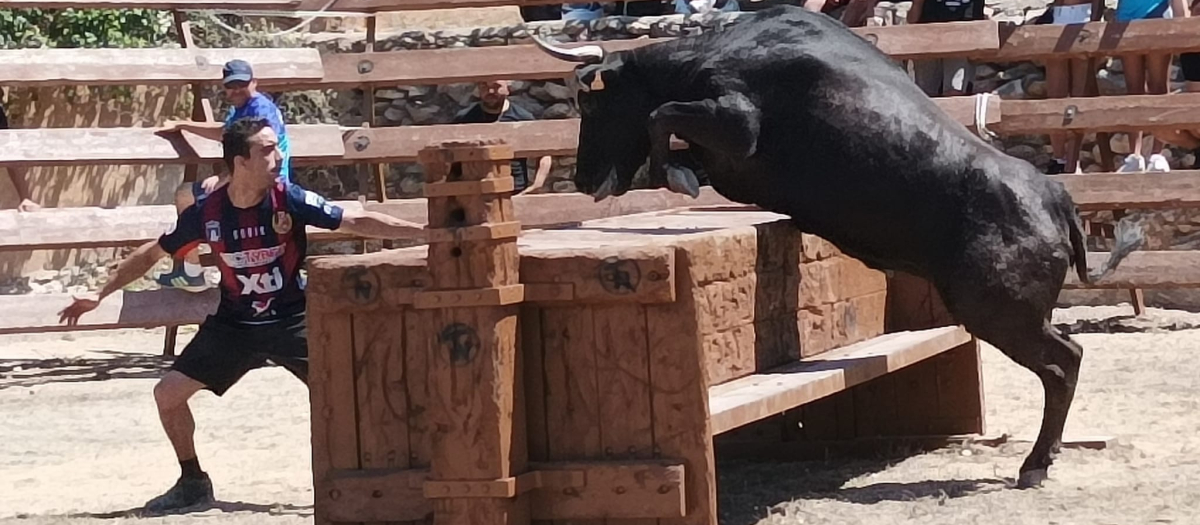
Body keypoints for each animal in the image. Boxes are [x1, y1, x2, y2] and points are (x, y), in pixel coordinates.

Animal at [535, 5, 1142, 489]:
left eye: (592, 107)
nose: (584, 177)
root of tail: (1051, 196)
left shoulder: (737, 122)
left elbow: (662, 118)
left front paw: (678, 177)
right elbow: (669, 132)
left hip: (999, 312)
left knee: (1063, 363)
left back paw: (1035, 465)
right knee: (1065, 362)